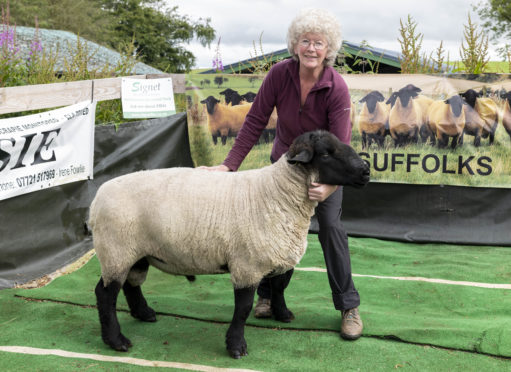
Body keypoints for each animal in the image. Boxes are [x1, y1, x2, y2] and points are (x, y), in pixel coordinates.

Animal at [90, 132, 370, 360]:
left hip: (134, 252)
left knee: (130, 284)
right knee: (105, 294)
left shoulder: (277, 255)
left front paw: (282, 314)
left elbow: (279, 287)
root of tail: (96, 199)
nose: (366, 170)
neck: (277, 192)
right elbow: (243, 308)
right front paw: (236, 346)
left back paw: (144, 313)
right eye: (326, 153)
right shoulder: (247, 265)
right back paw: (116, 341)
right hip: (115, 250)